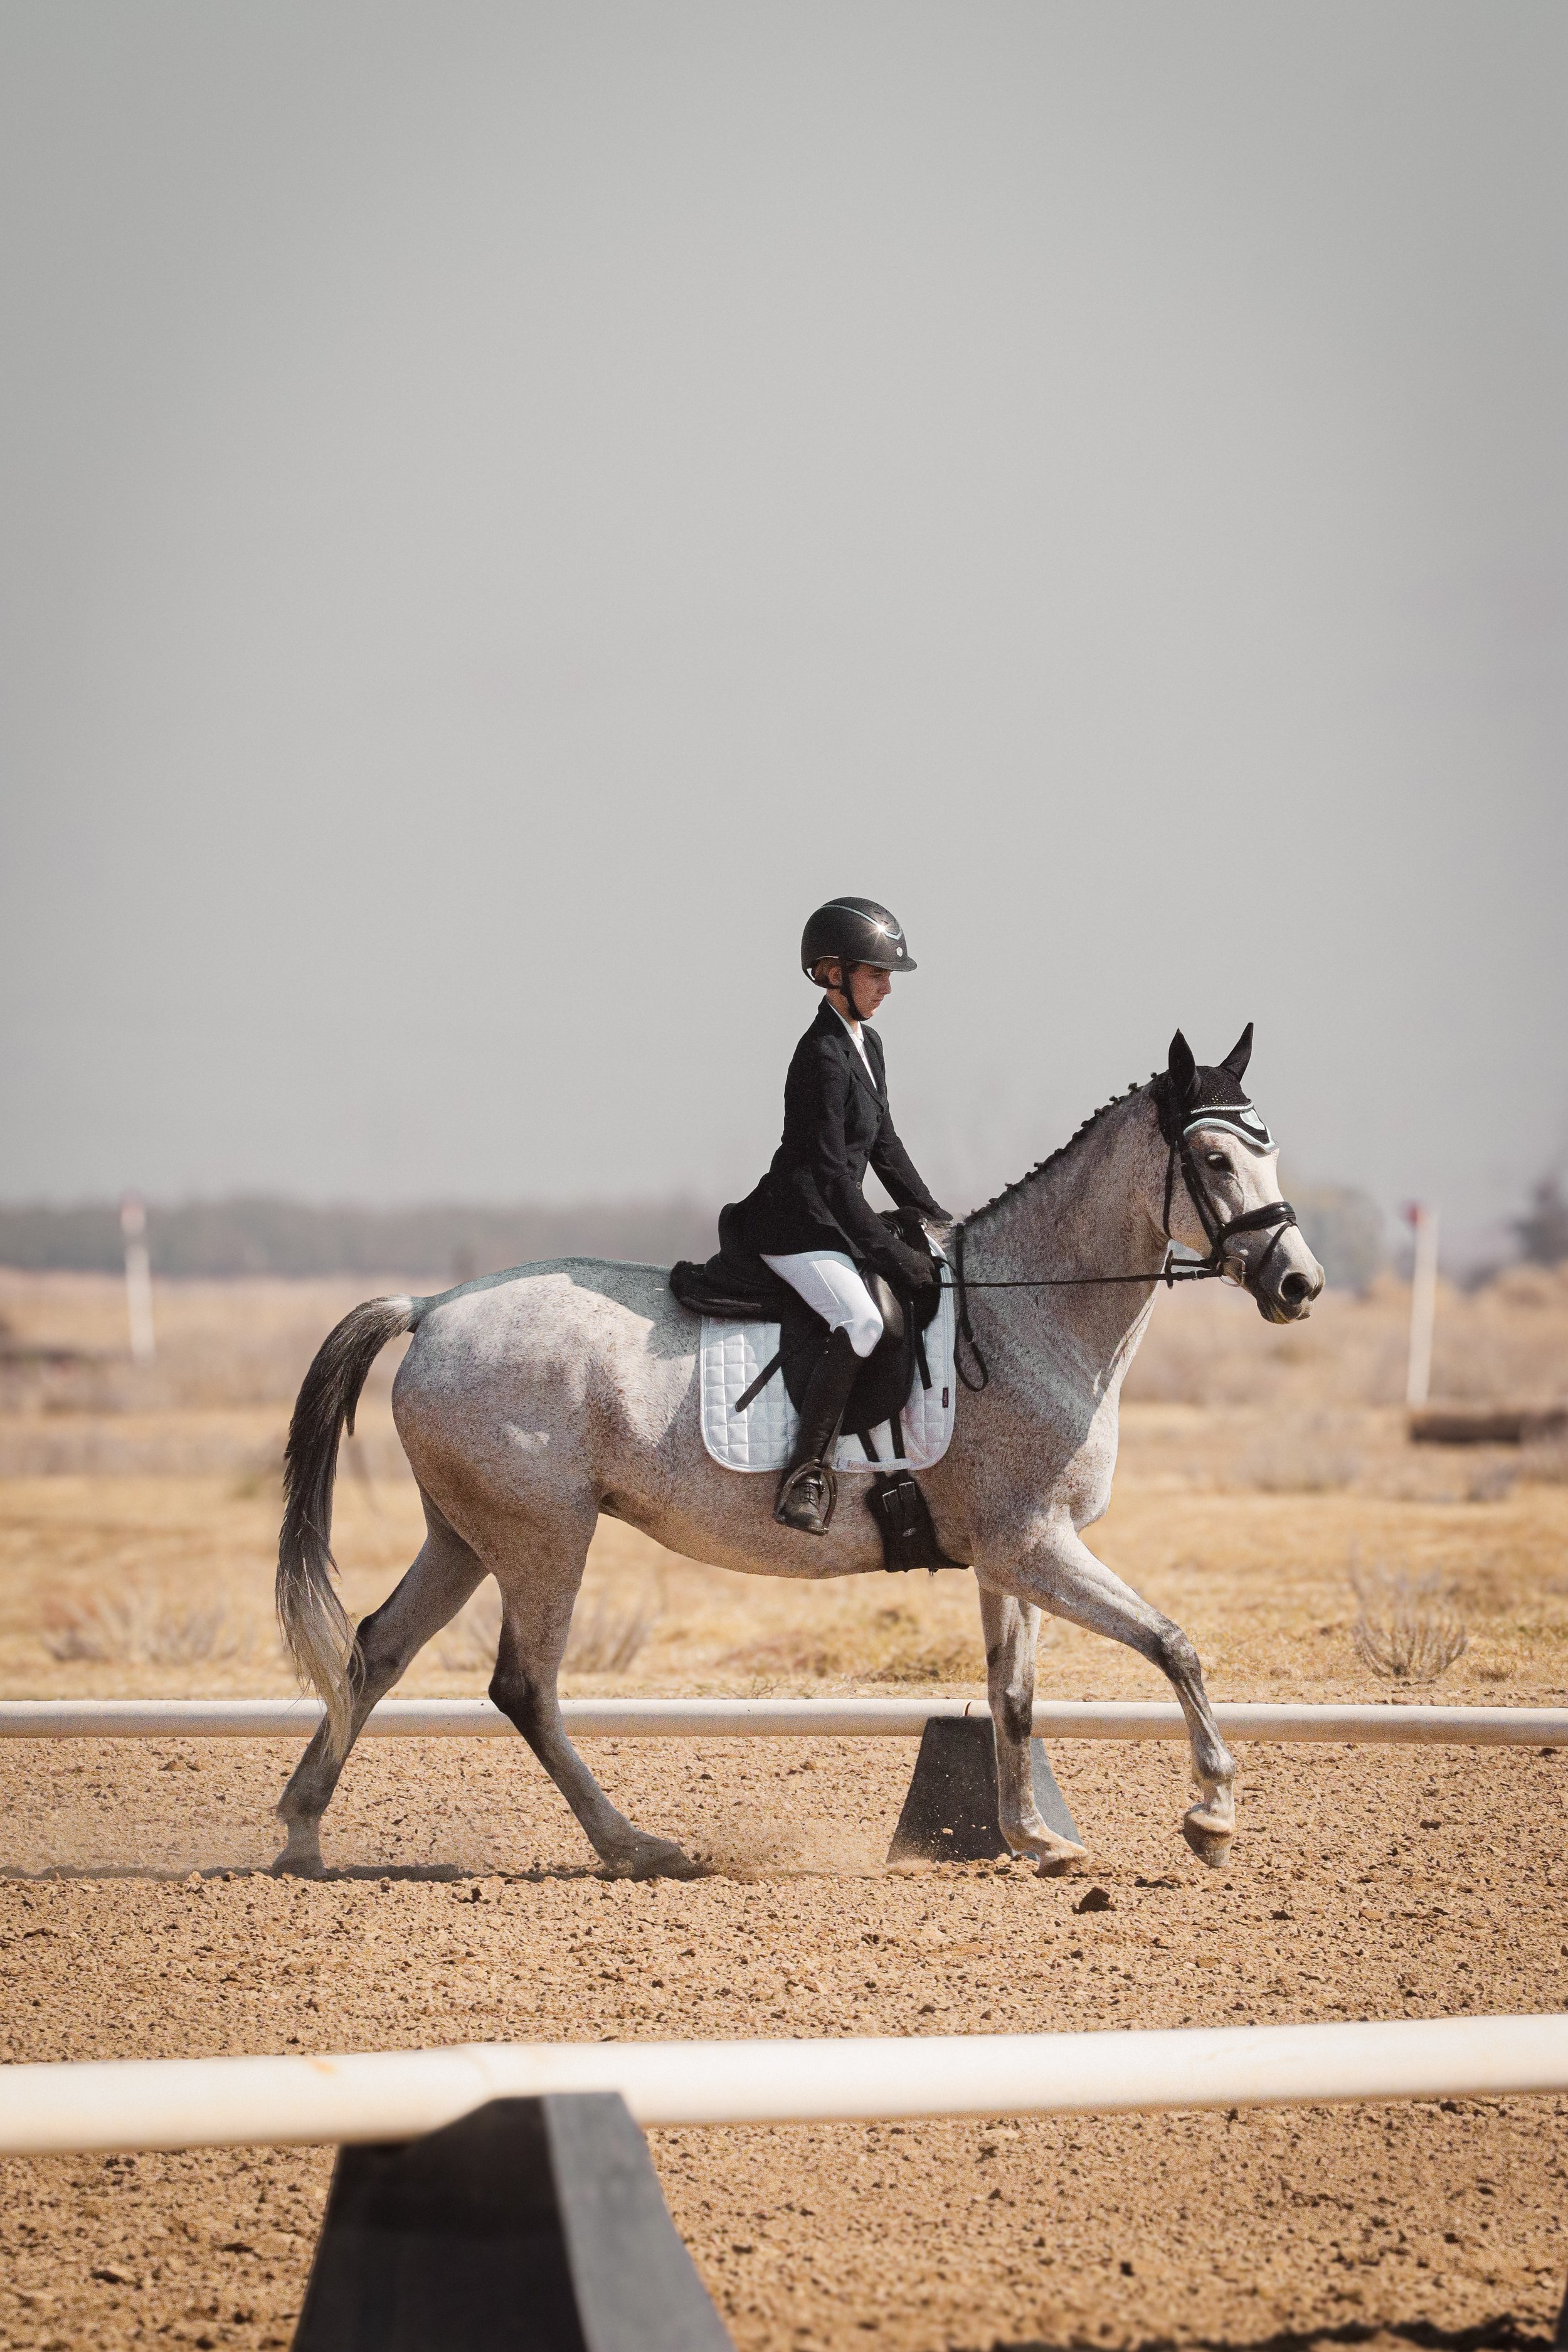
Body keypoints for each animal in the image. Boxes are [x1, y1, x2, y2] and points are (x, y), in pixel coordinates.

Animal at [273, 1025, 1323, 1879]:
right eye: (1215, 1158)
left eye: (1269, 1152)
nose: (1299, 1283)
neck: (1030, 1318)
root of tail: (433, 1308)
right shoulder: (1034, 1543)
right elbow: (1173, 1643)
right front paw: (1212, 1815)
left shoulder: (1013, 1551)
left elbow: (1016, 1693)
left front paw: (1036, 1838)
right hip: (544, 1537)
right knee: (525, 1686)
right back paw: (638, 1846)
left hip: (463, 1533)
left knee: (377, 1650)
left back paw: (301, 1835)